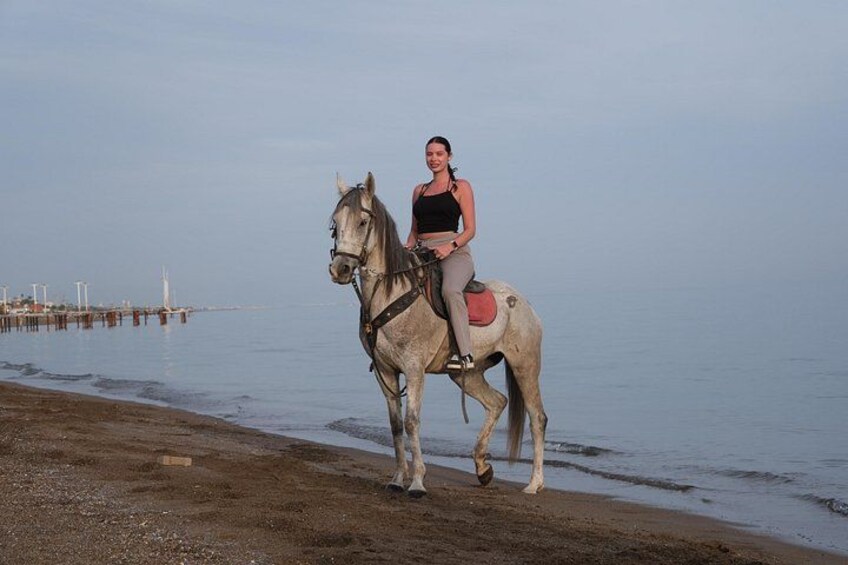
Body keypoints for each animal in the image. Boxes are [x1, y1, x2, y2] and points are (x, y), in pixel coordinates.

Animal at [328, 172, 547, 497]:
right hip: (467, 373)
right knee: (497, 402)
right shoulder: (385, 370)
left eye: (363, 222)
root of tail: (525, 304)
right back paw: (482, 468)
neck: (393, 292)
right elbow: (395, 425)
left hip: (525, 366)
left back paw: (534, 483)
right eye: (335, 222)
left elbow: (412, 422)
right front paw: (397, 478)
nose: (340, 268)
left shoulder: (414, 368)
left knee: (537, 418)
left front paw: (417, 482)